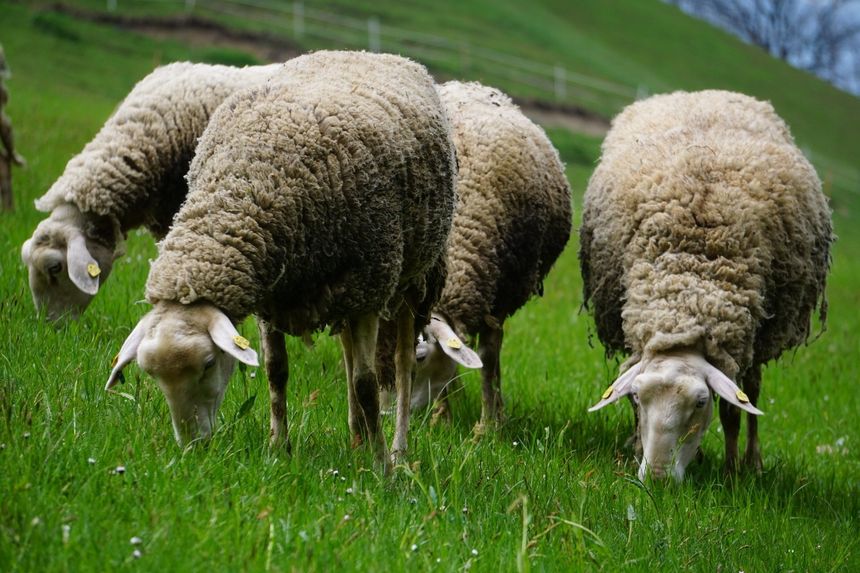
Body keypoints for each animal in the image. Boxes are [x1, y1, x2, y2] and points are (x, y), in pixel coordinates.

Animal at [105, 51, 457, 471]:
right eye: (152, 375)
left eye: (208, 364)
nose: (192, 448)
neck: (250, 180)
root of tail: (368, 53)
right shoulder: (272, 295)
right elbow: (276, 371)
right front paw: (279, 448)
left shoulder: (370, 284)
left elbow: (367, 385)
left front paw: (381, 468)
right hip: (345, 293)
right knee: (348, 352)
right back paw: (357, 435)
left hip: (412, 280)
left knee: (402, 364)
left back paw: (398, 449)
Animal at [385, 81, 572, 431]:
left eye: (421, 357)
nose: (389, 416)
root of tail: (472, 85)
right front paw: (443, 416)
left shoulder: (499, 298)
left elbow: (489, 357)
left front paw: (489, 424)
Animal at [580, 90, 833, 481]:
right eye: (637, 397)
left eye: (700, 402)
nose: (657, 478)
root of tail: (704, 93)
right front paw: (638, 447)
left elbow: (732, 411)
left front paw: (731, 472)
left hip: (760, 335)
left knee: (753, 391)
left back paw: (752, 461)